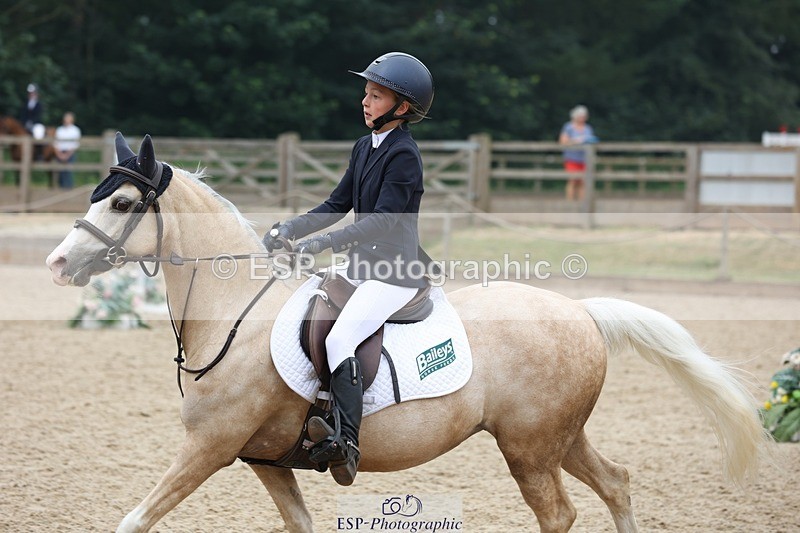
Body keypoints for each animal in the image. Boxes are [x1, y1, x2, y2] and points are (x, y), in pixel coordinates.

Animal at [45, 134, 767, 533]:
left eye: (122, 202)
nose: (57, 263)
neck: (233, 315)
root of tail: (581, 311)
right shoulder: (266, 461)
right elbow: (302, 524)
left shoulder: (209, 447)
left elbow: (134, 520)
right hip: (557, 437)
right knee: (616, 481)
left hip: (530, 448)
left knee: (558, 514)